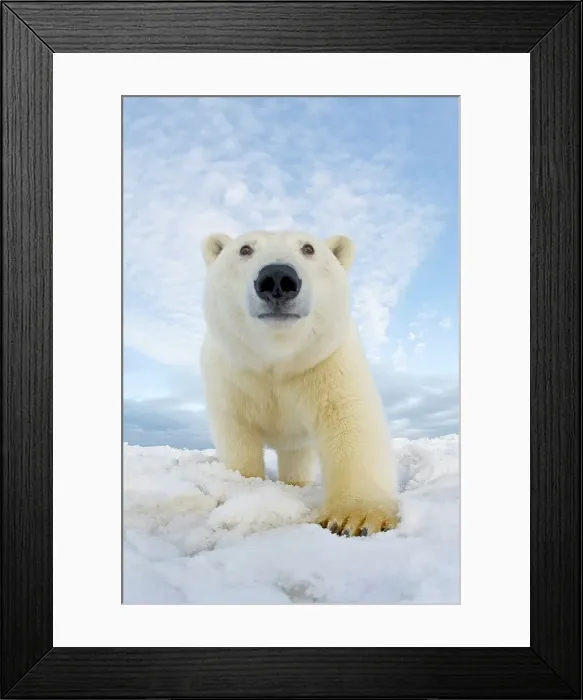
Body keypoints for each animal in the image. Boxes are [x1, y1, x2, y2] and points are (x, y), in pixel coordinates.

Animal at [200, 230, 399, 536]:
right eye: (244, 249)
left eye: (308, 248)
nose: (277, 278)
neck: (277, 361)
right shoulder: (231, 375)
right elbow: (237, 434)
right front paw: (245, 485)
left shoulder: (326, 363)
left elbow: (350, 420)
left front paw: (356, 517)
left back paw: (296, 483)